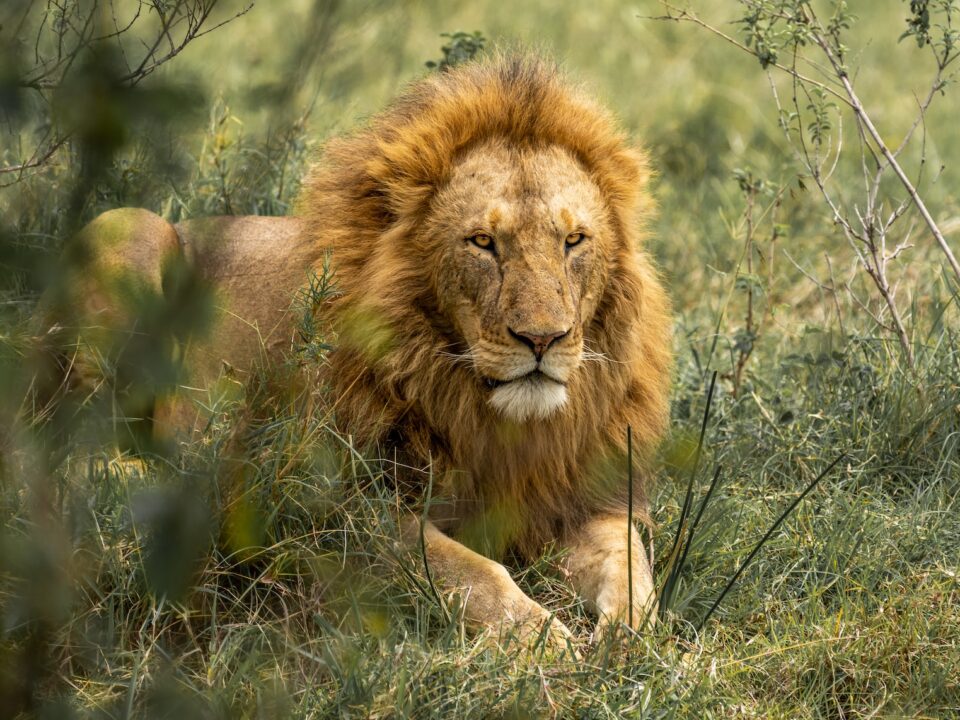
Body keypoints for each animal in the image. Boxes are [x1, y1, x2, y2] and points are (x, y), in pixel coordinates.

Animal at [38, 56, 673, 648]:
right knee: (72, 449)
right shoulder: (340, 512)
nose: (543, 339)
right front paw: (541, 639)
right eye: (482, 242)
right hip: (127, 229)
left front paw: (633, 642)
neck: (487, 416)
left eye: (574, 241)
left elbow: (633, 565)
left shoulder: (586, 497)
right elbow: (471, 571)